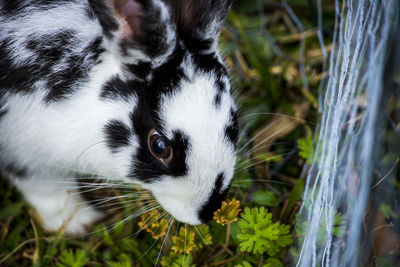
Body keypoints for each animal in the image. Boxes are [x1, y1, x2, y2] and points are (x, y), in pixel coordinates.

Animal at [0, 0, 238, 234]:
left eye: (232, 122)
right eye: (159, 146)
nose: (207, 213)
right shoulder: (24, 153)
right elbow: (49, 191)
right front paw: (78, 223)